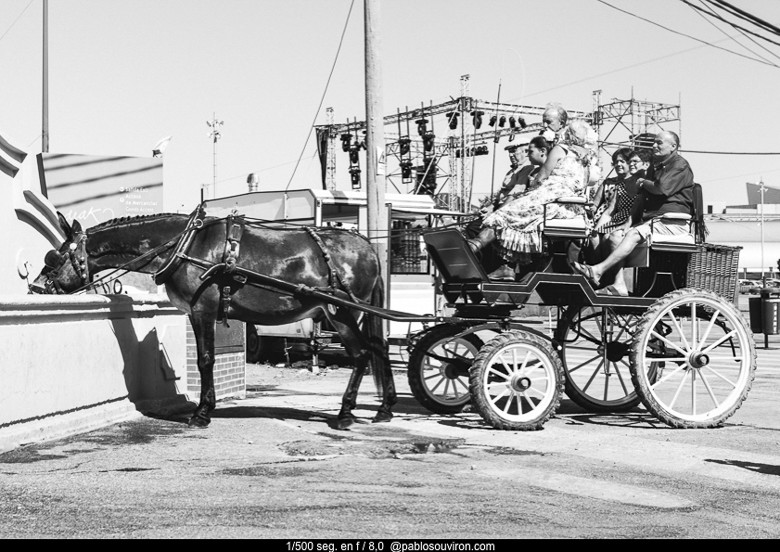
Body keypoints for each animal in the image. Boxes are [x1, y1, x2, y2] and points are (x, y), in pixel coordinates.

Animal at [29, 206, 396, 426]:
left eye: (54, 257)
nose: (36, 287)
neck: (184, 246)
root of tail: (367, 246)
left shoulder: (202, 309)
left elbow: (206, 359)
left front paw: (202, 412)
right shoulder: (197, 312)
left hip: (343, 310)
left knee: (361, 355)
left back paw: (346, 412)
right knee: (379, 350)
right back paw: (384, 408)